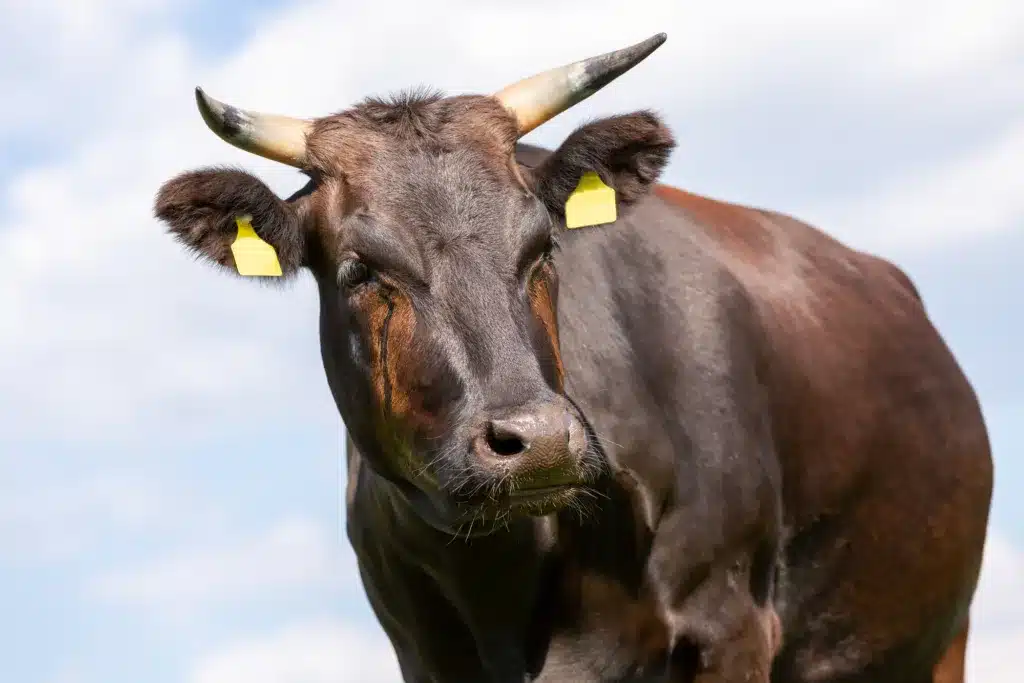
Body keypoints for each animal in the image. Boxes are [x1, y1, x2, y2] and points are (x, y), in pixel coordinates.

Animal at [154, 33, 994, 683]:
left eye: (542, 244)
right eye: (361, 268)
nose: (539, 443)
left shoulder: (732, 626)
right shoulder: (425, 655)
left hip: (938, 637)